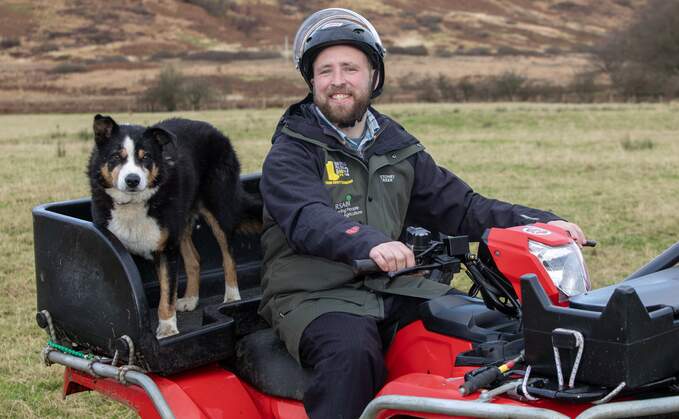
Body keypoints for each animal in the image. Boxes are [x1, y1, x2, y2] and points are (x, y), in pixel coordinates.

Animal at [87, 115, 252, 342]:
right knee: (194, 260)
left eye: (146, 157)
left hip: (218, 209)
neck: (133, 204)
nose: (132, 180)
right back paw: (191, 299)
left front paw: (167, 330)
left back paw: (232, 297)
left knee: (228, 257)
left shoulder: (165, 251)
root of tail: (212, 128)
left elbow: (166, 295)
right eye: (116, 156)